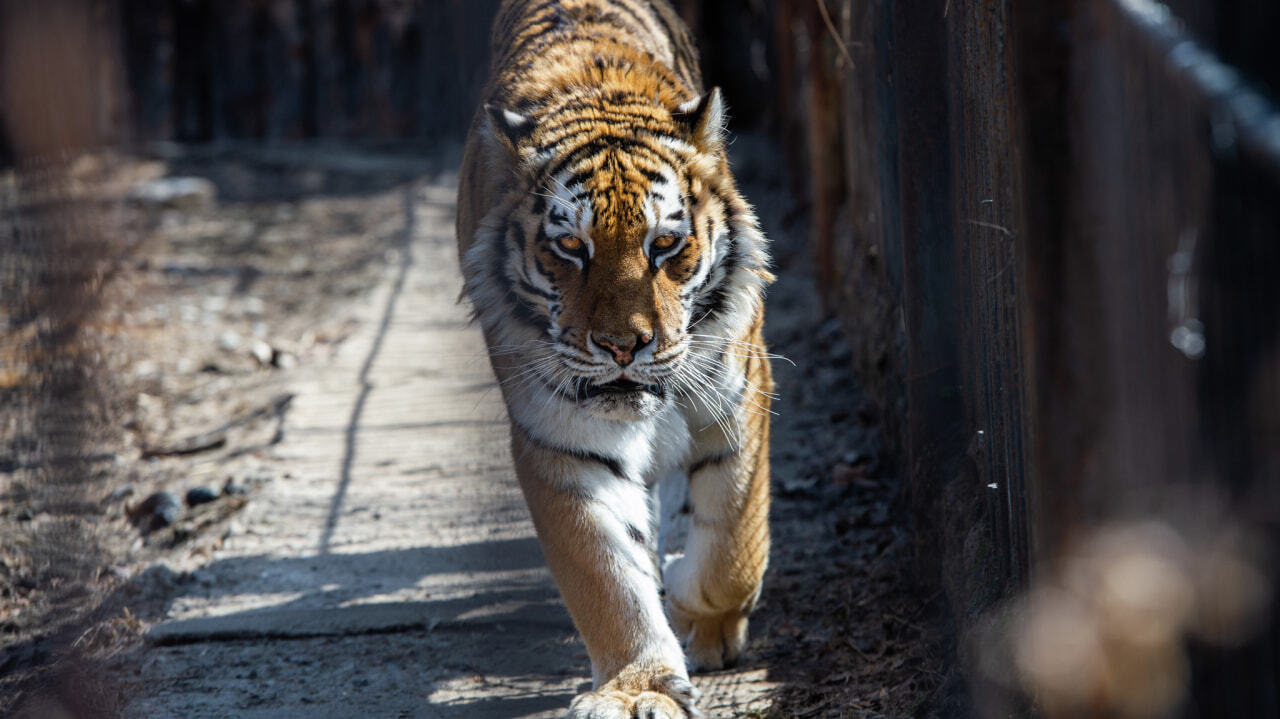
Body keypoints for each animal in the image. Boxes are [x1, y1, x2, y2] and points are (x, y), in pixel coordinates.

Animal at [460, 2, 773, 711]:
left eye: (665, 245)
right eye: (571, 248)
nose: (623, 345)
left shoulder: (741, 395)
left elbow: (735, 543)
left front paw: (704, 622)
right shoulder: (563, 441)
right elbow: (606, 576)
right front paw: (637, 690)